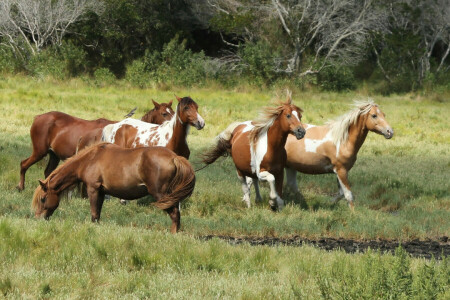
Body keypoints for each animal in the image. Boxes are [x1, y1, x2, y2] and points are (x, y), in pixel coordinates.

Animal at [31, 144, 193, 234]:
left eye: (43, 199)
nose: (37, 219)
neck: (90, 159)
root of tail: (174, 157)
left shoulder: (93, 189)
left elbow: (94, 213)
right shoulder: (102, 192)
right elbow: (97, 214)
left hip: (162, 195)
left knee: (174, 214)